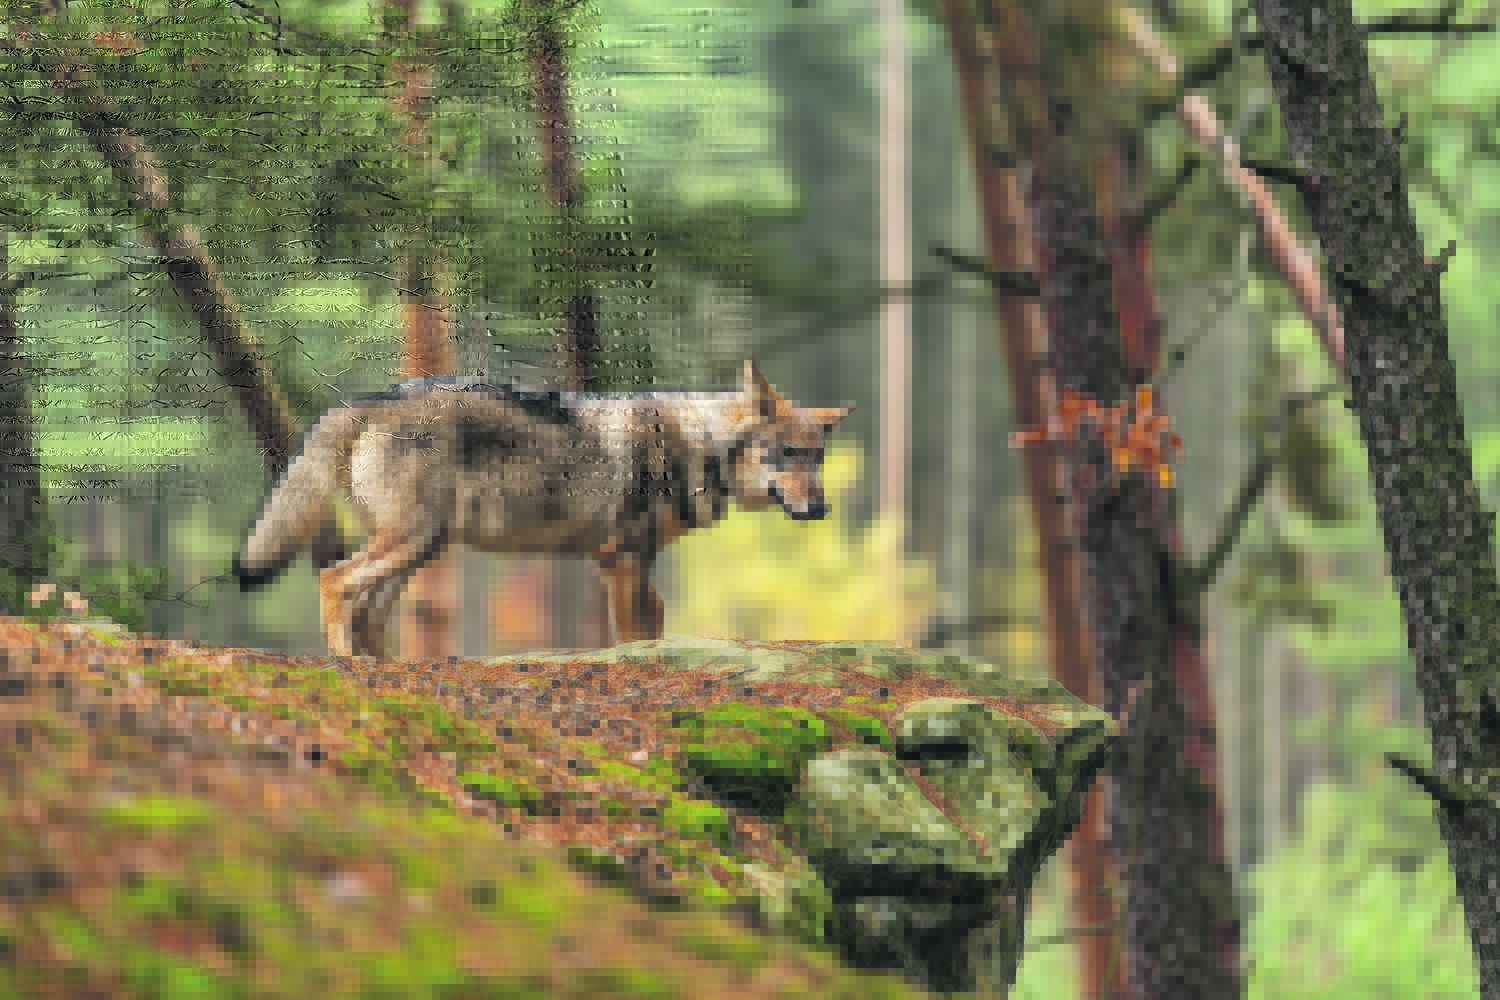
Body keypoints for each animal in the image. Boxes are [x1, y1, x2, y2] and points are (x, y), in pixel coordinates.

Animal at [233, 360, 854, 659]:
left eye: (818, 457)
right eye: (788, 454)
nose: (821, 508)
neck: (695, 445)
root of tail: (367, 401)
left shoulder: (635, 566)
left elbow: (654, 622)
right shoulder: (621, 561)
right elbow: (632, 637)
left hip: (420, 550)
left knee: (368, 611)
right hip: (412, 543)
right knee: (334, 580)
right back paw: (345, 663)